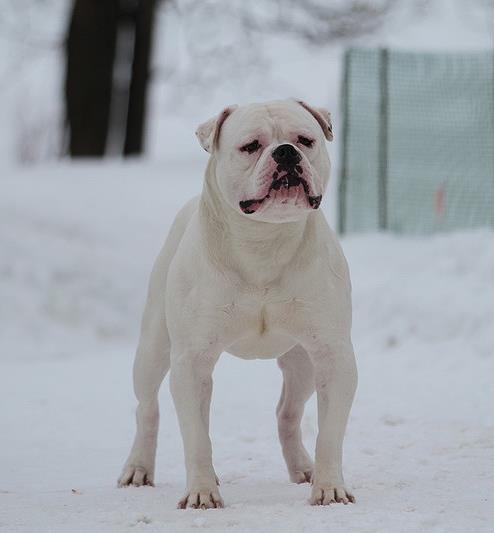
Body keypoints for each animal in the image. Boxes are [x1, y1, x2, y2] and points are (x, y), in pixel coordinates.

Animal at [117, 97, 356, 510]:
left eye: (305, 140)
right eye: (250, 146)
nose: (286, 152)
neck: (264, 242)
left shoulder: (333, 354)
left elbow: (330, 434)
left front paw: (329, 488)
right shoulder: (191, 362)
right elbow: (196, 437)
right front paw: (200, 493)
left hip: (303, 363)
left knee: (288, 413)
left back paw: (303, 468)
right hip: (153, 350)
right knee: (147, 408)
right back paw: (138, 468)